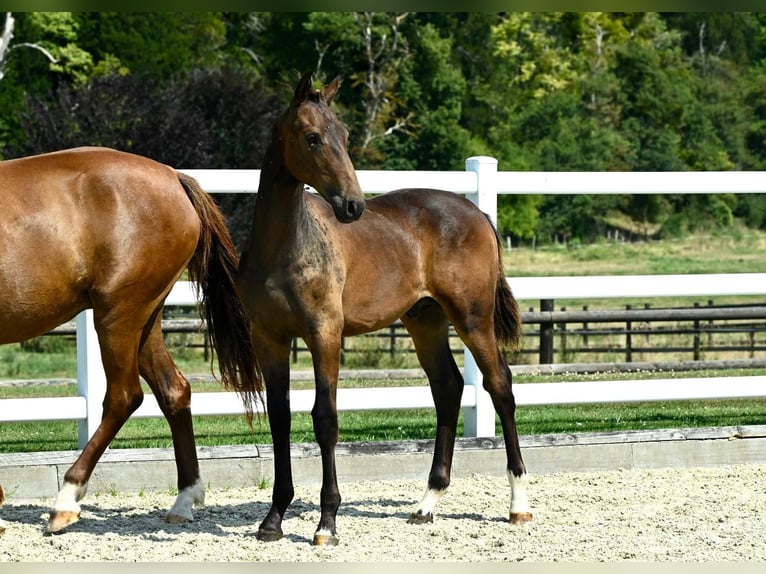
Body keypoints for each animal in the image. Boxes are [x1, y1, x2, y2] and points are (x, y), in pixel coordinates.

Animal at [0, 146, 260, 532]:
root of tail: (174, 178)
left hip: (117, 316)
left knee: (124, 398)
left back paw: (66, 502)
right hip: (145, 320)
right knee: (174, 391)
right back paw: (183, 502)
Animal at [238, 73, 536, 548]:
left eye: (344, 135)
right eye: (312, 137)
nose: (352, 205)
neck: (285, 247)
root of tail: (477, 212)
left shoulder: (324, 334)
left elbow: (325, 418)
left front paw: (327, 523)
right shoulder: (269, 338)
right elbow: (280, 418)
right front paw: (273, 519)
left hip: (472, 318)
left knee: (499, 385)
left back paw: (518, 504)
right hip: (425, 321)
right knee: (448, 388)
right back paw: (427, 503)